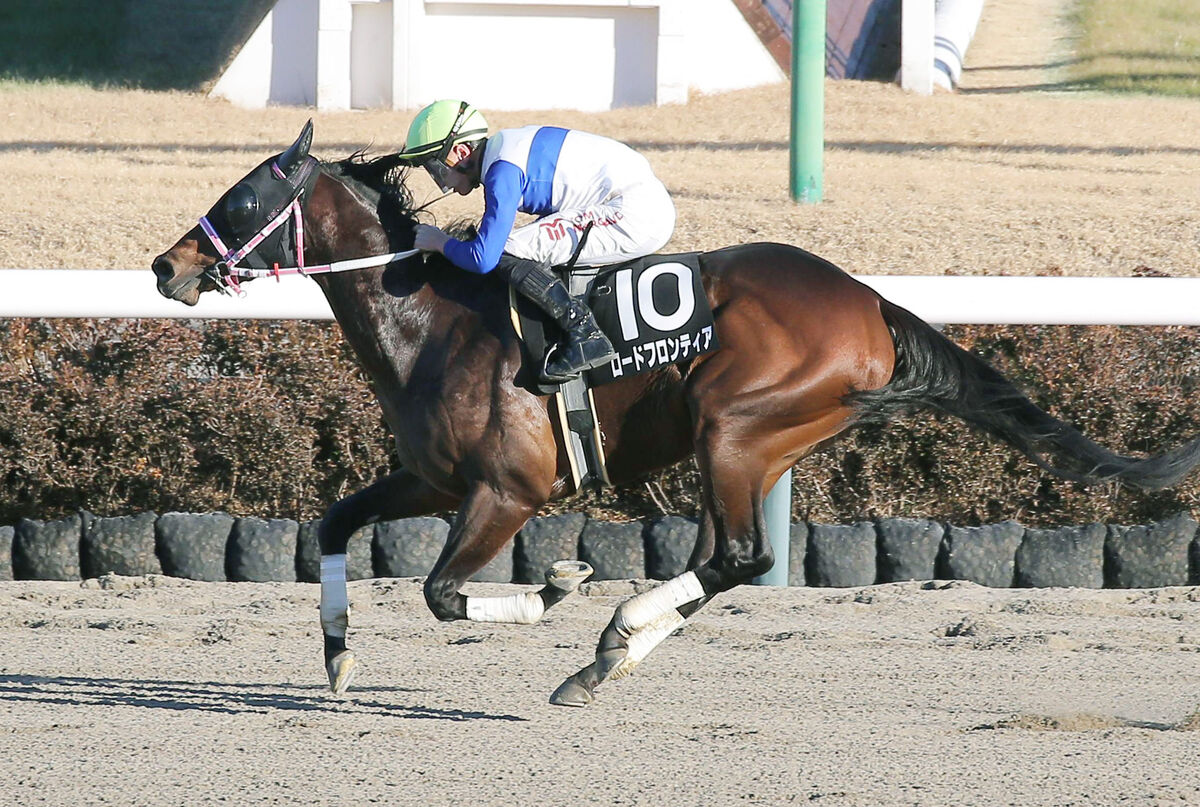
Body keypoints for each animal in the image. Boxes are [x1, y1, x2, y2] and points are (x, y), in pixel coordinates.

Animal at [152, 121, 1200, 706]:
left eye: (240, 197)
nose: (167, 266)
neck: (431, 318)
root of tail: (870, 303)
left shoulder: (508, 490)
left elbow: (443, 592)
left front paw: (559, 585)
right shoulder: (431, 477)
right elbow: (334, 522)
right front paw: (335, 659)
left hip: (733, 425)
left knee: (738, 555)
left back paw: (605, 639)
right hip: (753, 444)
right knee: (723, 559)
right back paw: (605, 659)